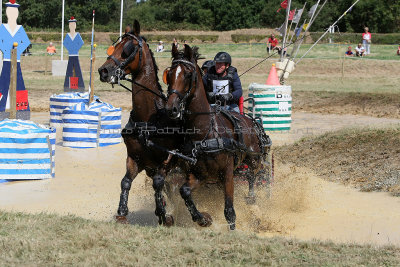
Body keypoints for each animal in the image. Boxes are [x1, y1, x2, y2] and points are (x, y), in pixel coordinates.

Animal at [98, 19, 183, 227]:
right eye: (114, 46)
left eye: (128, 49)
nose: (104, 71)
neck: (149, 118)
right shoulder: (135, 158)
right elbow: (125, 181)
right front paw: (121, 212)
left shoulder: (168, 160)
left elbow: (159, 182)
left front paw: (163, 214)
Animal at [163, 45, 272, 231]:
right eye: (168, 74)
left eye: (188, 74)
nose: (171, 108)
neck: (205, 133)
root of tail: (251, 120)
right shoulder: (199, 174)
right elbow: (185, 192)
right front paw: (203, 219)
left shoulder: (227, 173)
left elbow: (229, 209)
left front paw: (232, 228)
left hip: (254, 158)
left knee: (253, 174)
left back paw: (251, 197)